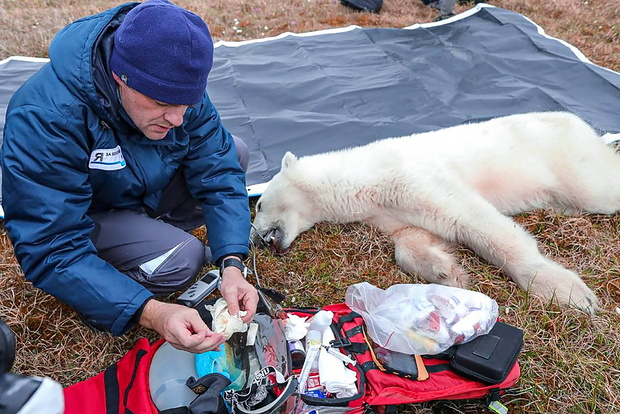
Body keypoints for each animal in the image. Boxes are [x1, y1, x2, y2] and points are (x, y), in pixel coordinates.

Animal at [251, 111, 620, 314]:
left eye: (257, 204)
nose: (255, 237)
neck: (364, 173)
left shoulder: (414, 177)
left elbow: (474, 220)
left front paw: (570, 293)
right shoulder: (387, 210)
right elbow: (411, 237)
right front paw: (447, 272)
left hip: (569, 161)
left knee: (600, 188)